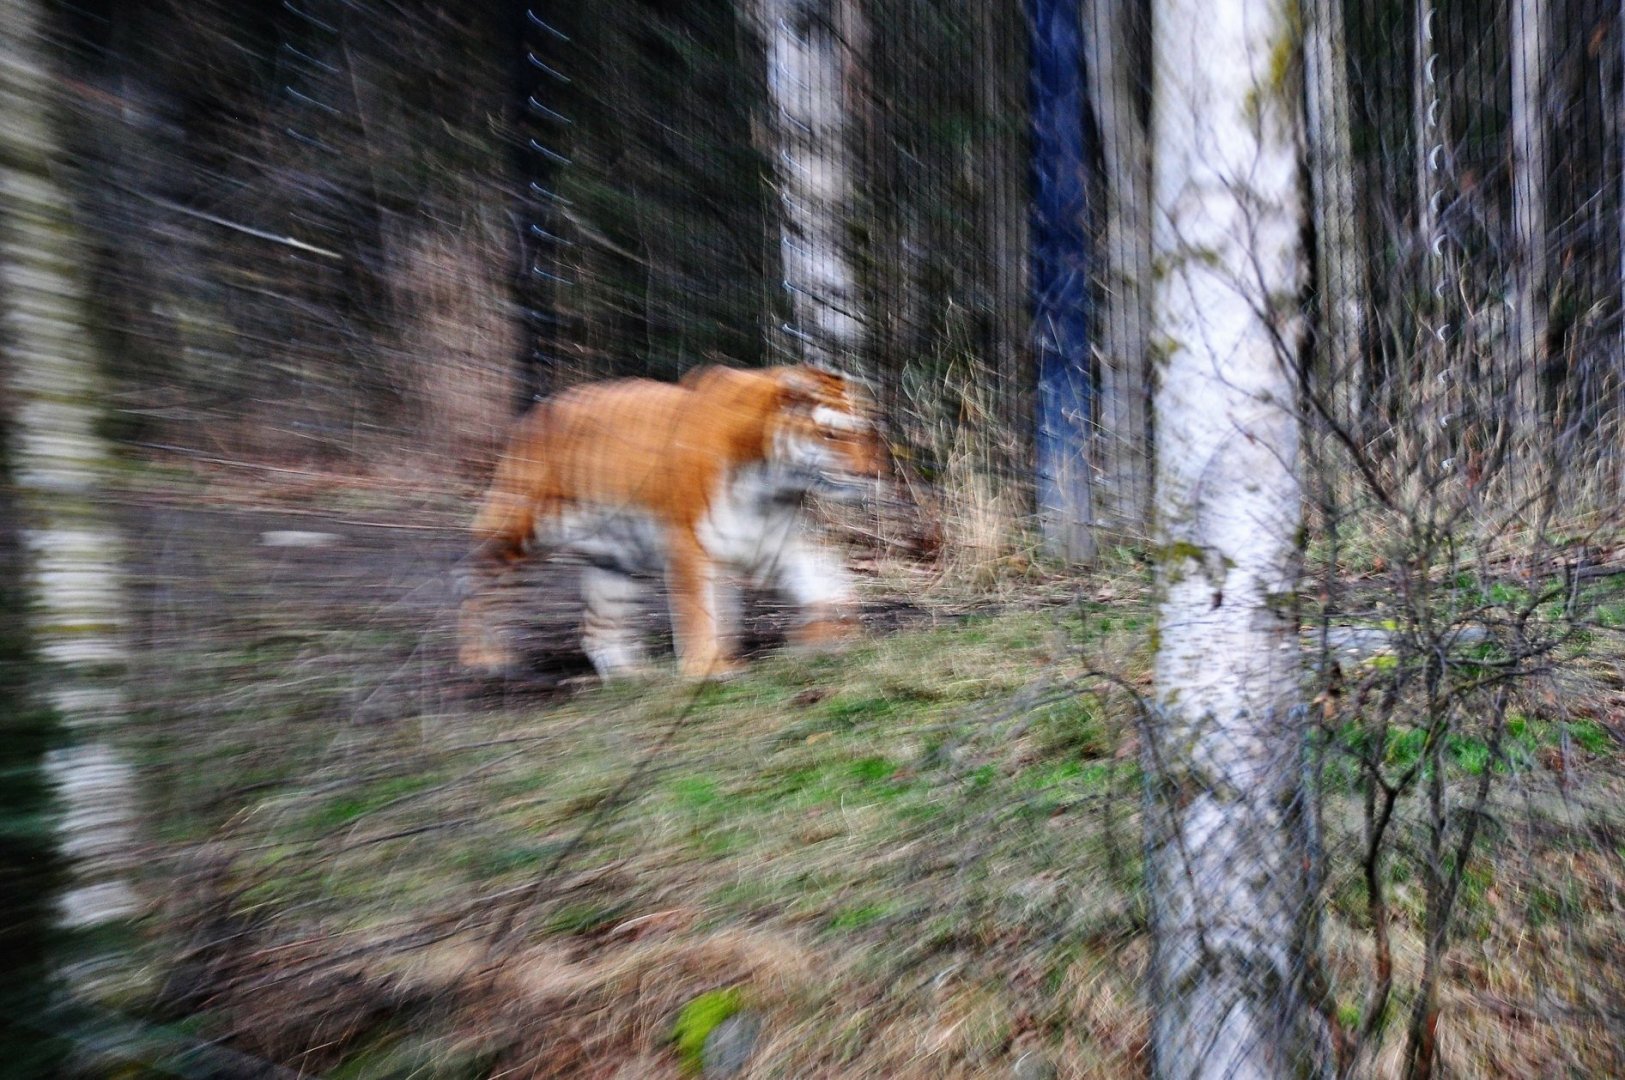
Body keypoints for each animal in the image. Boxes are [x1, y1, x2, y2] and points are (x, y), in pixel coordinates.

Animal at [457, 364, 886, 680]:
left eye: (864, 433)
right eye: (831, 435)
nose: (872, 474)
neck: (771, 482)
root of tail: (534, 411)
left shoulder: (773, 539)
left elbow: (828, 583)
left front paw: (827, 637)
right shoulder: (690, 543)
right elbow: (699, 613)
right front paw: (708, 669)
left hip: (613, 556)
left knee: (599, 624)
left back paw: (631, 674)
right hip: (522, 521)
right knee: (475, 573)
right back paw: (482, 658)